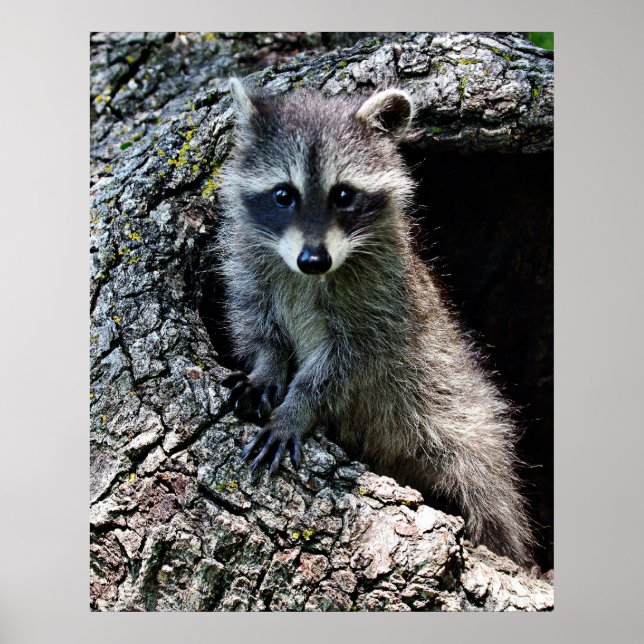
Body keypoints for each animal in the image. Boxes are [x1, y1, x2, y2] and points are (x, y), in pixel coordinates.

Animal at [217, 78, 534, 565]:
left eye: (343, 194)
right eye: (283, 194)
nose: (314, 260)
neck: (309, 273)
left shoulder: (381, 301)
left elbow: (346, 364)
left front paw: (298, 404)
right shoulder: (250, 264)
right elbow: (256, 322)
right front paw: (267, 368)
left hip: (466, 419)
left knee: (487, 487)